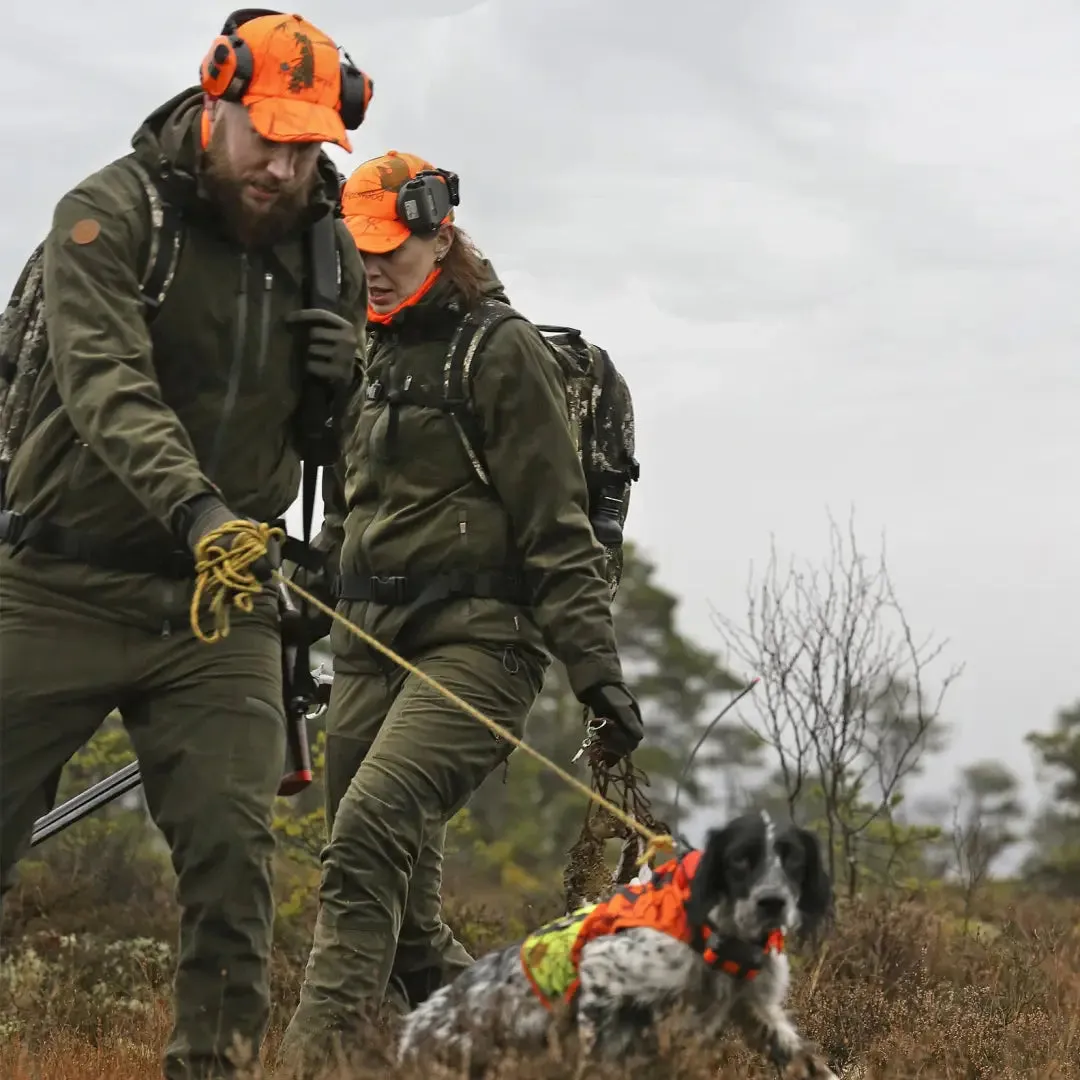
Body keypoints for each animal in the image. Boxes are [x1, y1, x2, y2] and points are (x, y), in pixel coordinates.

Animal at [397, 812, 833, 1075]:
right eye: (740, 859)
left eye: (793, 859)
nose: (772, 903)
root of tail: (410, 1033)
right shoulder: (604, 976)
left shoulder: (757, 1010)